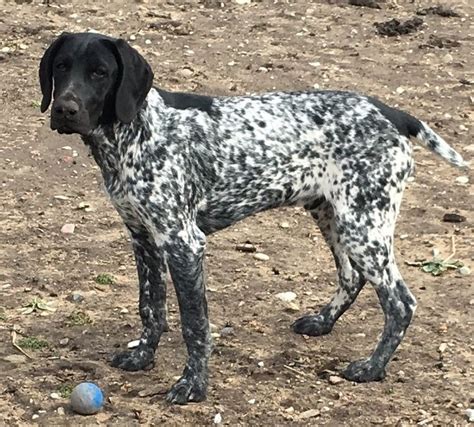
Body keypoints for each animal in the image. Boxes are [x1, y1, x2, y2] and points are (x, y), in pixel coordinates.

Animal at [39, 32, 468, 404]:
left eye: (100, 72)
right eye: (61, 67)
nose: (64, 109)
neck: (134, 134)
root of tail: (389, 112)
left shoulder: (183, 243)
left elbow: (194, 325)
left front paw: (193, 386)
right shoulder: (143, 238)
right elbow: (151, 306)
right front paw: (143, 356)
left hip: (363, 226)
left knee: (400, 303)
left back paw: (372, 368)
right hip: (332, 215)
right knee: (352, 276)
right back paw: (323, 322)